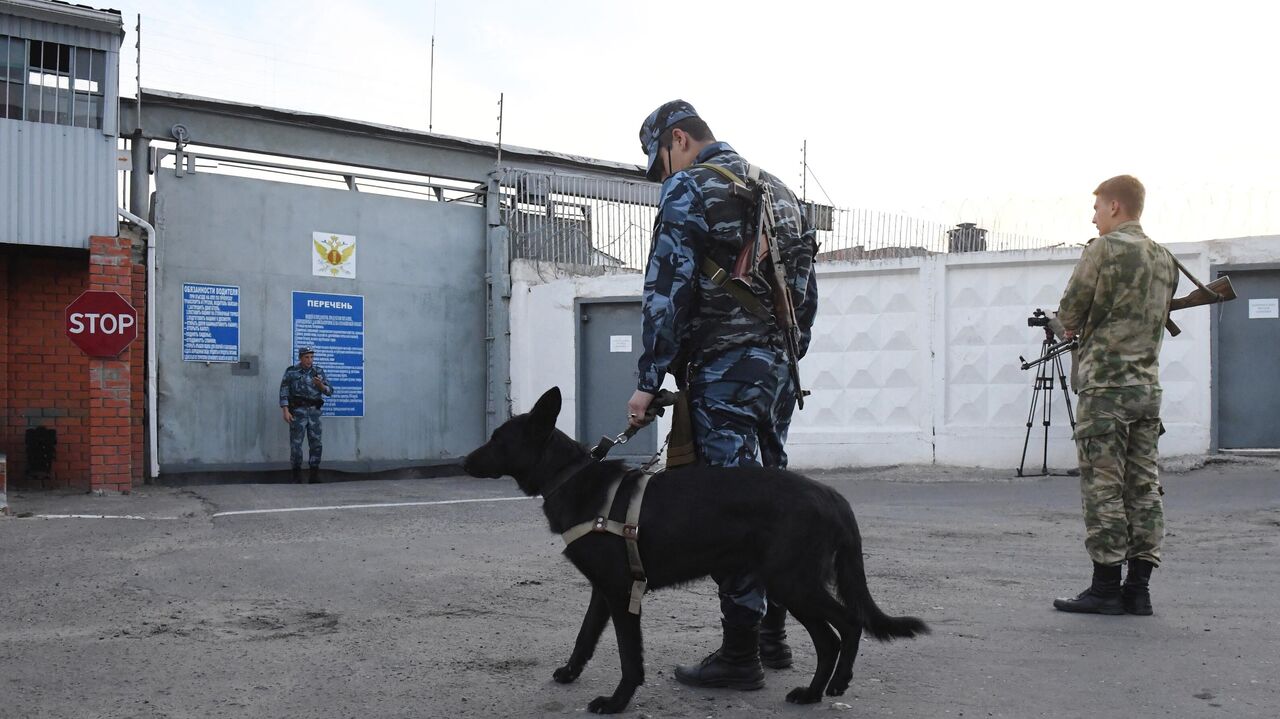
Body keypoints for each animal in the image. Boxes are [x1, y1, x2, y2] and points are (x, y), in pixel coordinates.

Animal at [465, 386, 926, 711]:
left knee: (847, 624)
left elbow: (629, 657)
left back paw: (837, 683)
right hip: (790, 585)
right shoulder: (603, 591)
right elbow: (585, 637)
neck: (572, 477)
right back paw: (812, 693)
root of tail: (831, 496)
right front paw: (569, 673)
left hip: (792, 582)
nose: (464, 463)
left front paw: (616, 703)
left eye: (498, 440)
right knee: (829, 638)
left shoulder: (622, 593)